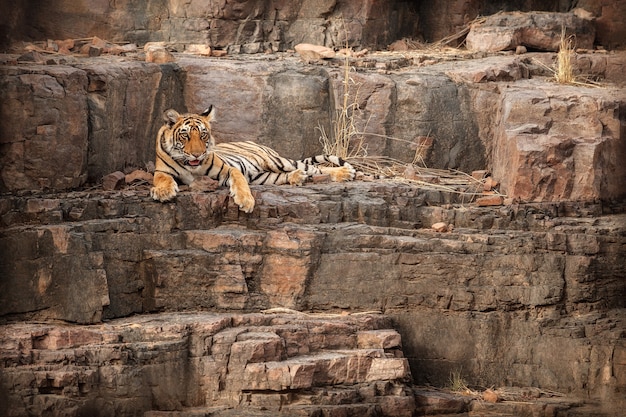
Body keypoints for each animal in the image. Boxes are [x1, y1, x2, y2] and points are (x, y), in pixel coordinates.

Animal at [149, 105, 354, 213]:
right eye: (185, 136)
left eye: (203, 135)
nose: (197, 154)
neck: (192, 167)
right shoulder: (162, 170)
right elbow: (161, 178)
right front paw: (163, 192)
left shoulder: (228, 169)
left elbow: (239, 181)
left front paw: (246, 201)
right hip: (263, 176)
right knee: (292, 174)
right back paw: (297, 177)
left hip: (277, 162)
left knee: (314, 168)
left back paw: (346, 172)